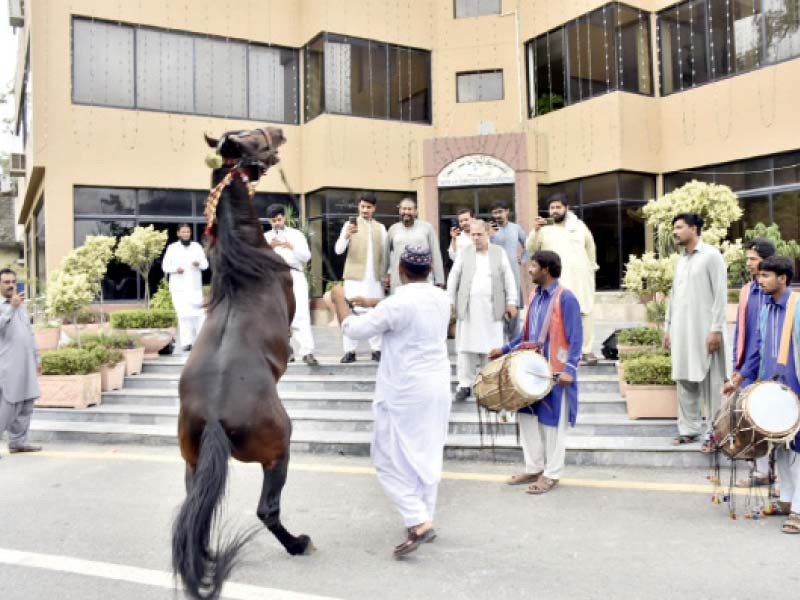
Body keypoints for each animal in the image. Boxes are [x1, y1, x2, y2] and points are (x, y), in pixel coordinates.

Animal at [171, 126, 312, 600]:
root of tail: (215, 418)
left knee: (195, 510)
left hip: (193, 462)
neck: (245, 265)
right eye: (251, 139)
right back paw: (299, 544)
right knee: (267, 510)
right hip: (279, 449)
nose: (280, 131)